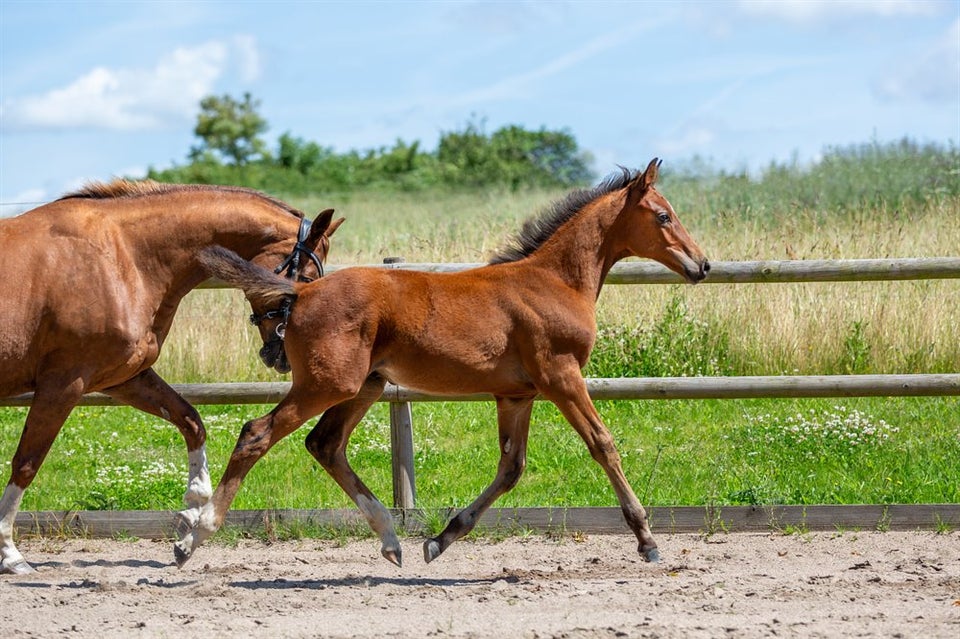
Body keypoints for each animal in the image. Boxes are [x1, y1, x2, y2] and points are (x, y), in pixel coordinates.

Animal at [0, 180, 344, 576]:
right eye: (305, 279)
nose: (283, 356)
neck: (123, 258)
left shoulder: (124, 378)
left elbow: (190, 420)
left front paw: (192, 511)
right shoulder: (63, 384)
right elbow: (26, 463)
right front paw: (10, 554)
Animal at [178, 158, 704, 568]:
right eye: (663, 215)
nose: (701, 265)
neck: (555, 281)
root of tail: (301, 292)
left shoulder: (516, 394)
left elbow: (511, 467)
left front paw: (440, 539)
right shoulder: (561, 376)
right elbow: (603, 444)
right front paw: (647, 540)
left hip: (364, 385)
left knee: (324, 444)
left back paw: (393, 541)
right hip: (329, 384)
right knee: (257, 433)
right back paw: (194, 536)